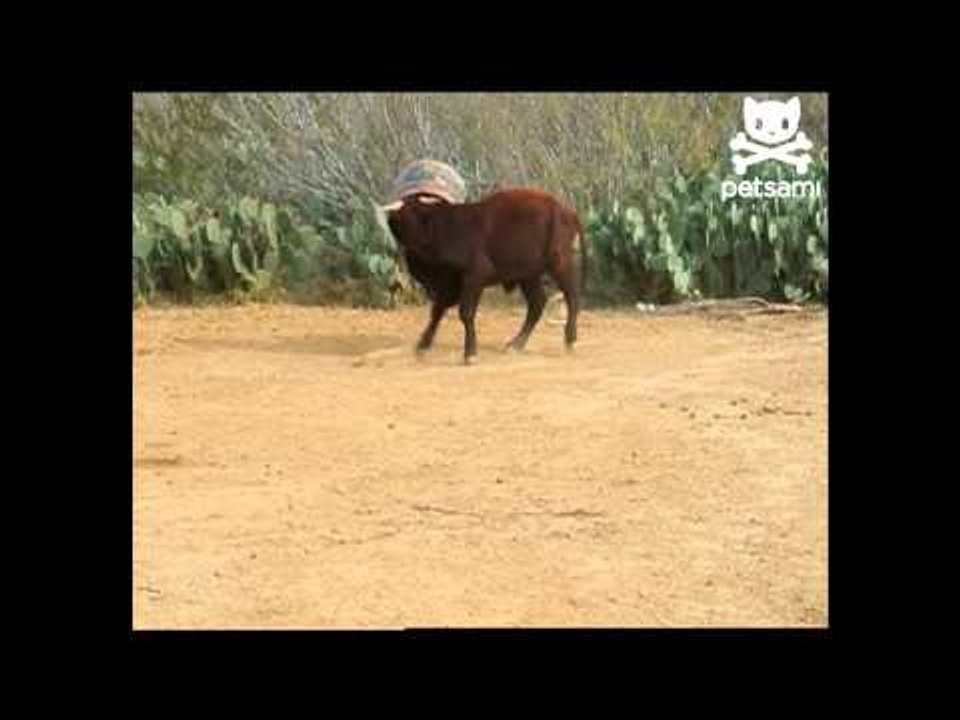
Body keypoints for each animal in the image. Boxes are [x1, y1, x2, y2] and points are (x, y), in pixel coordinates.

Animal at [381, 187, 588, 365]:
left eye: (417, 212)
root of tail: (565, 210)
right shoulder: (449, 284)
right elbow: (437, 311)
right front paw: (422, 346)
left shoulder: (474, 277)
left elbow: (466, 313)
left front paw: (470, 353)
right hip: (528, 274)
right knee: (537, 304)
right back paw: (516, 344)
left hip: (559, 262)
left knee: (572, 296)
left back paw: (570, 339)